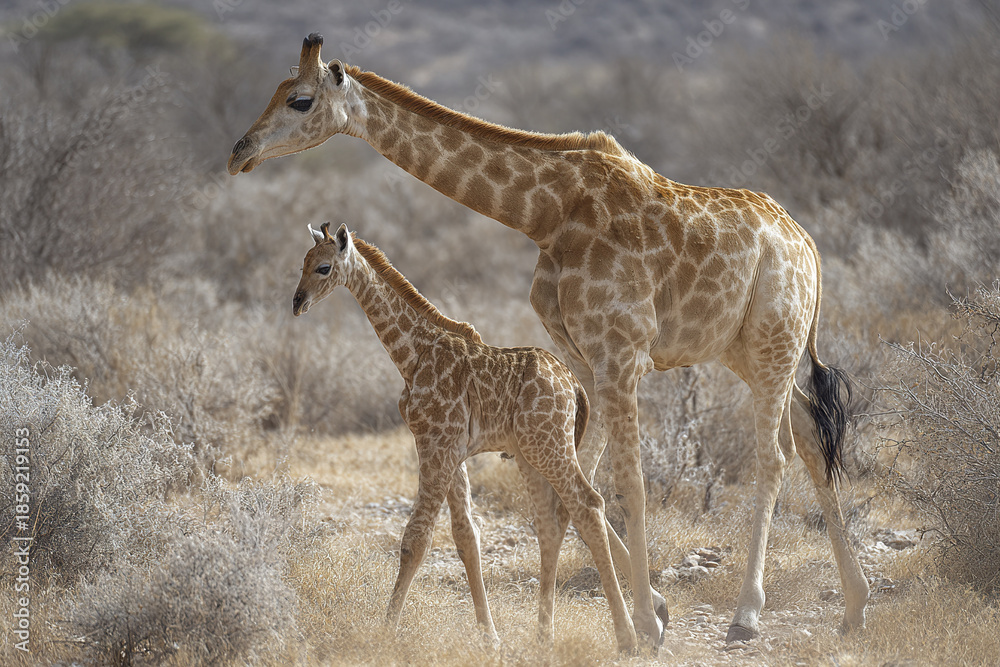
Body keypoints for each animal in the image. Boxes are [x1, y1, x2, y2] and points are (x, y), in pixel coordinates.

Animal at [293, 221, 638, 652]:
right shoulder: (449, 449)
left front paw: (386, 630)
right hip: (531, 453)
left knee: (588, 505)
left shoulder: (435, 443)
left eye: (323, 267)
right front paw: (489, 636)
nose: (297, 302)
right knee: (550, 524)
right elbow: (466, 537)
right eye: (302, 263)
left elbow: (416, 539)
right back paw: (543, 635)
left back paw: (627, 639)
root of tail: (574, 386)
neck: (411, 355)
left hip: (550, 446)